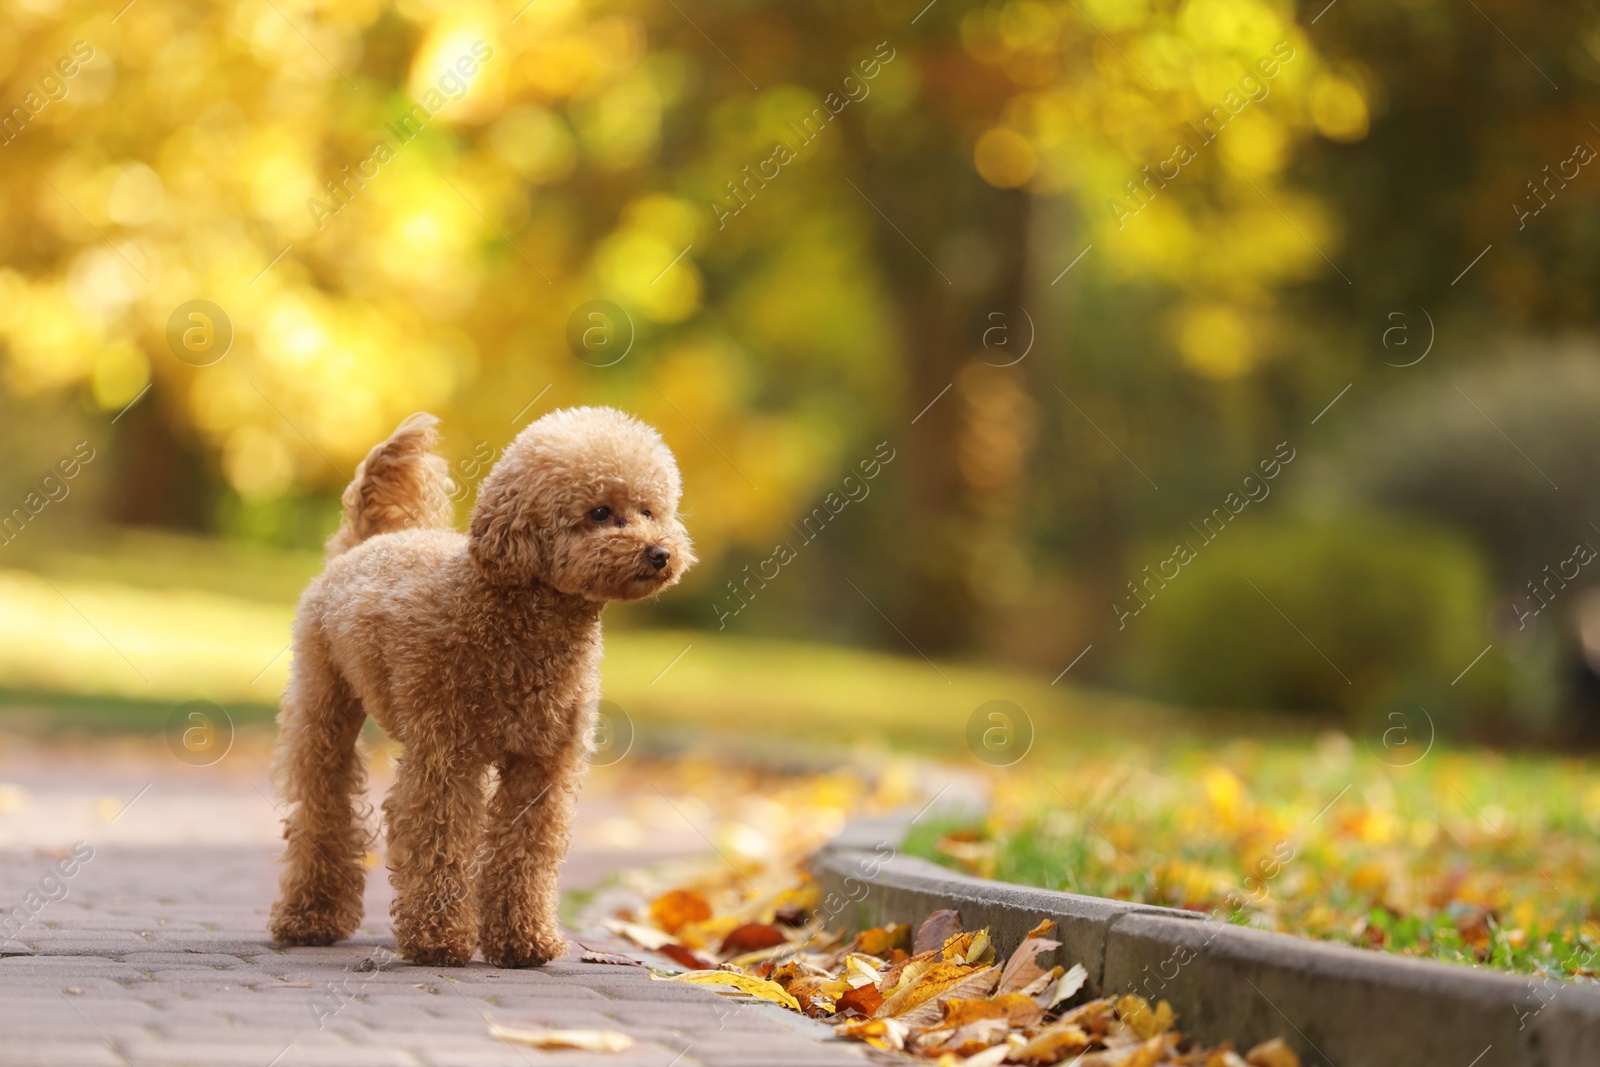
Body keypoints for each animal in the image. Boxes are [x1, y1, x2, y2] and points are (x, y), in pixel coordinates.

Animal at [268, 406, 694, 966]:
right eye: (600, 512)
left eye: (649, 510)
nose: (659, 553)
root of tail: (364, 542)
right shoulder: (444, 756)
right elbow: (439, 839)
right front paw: (437, 939)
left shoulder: (543, 763)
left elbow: (525, 849)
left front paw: (523, 940)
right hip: (323, 705)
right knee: (322, 804)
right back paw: (310, 918)